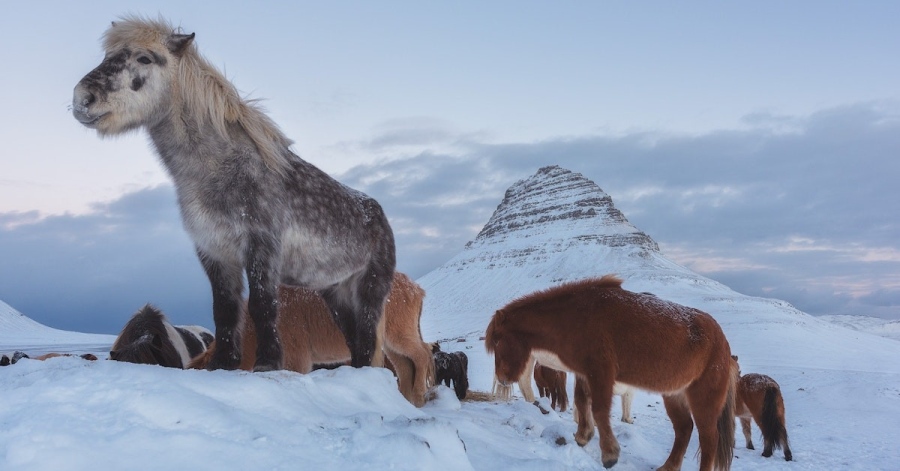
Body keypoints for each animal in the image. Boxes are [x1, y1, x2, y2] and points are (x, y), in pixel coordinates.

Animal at [75, 16, 400, 374]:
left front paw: (268, 363)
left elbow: (261, 305)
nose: (82, 99)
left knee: (367, 337)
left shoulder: (262, 246)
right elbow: (226, 309)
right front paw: (223, 363)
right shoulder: (214, 251)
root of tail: (377, 214)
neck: (221, 171)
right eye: (107, 56)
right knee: (354, 340)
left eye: (144, 58)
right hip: (335, 292)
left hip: (369, 288)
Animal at [190, 274, 436, 408]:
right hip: (390, 344)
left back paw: (418, 394)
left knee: (422, 354)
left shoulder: (297, 359)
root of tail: (415, 287)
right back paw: (406, 399)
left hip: (399, 335)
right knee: (406, 366)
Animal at [486, 276, 740, 471]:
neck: (576, 318)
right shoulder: (585, 374)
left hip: (703, 399)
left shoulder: (601, 373)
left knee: (709, 439)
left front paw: (609, 455)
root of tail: (724, 344)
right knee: (684, 429)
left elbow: (599, 409)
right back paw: (668, 466)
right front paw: (583, 436)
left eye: (498, 341)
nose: (502, 378)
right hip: (674, 395)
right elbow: (582, 402)